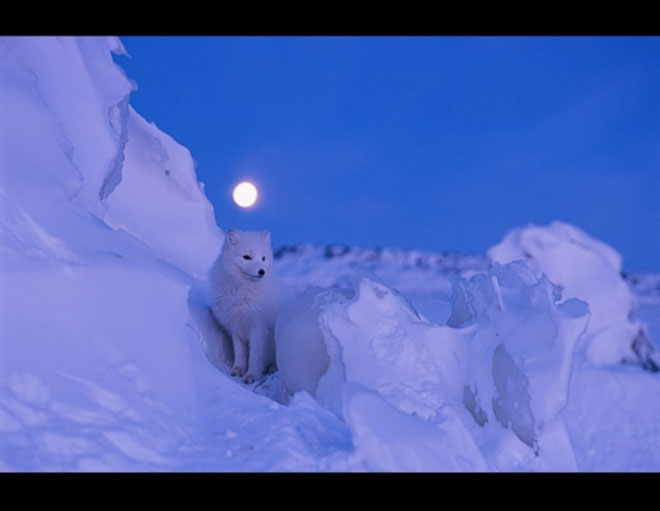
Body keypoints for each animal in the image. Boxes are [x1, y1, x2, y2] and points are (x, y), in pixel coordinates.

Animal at [209, 229, 282, 384]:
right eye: (247, 257)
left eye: (263, 258)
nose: (262, 271)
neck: (243, 293)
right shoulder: (236, 327)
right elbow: (240, 352)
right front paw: (237, 369)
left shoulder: (259, 328)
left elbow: (255, 355)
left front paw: (252, 375)